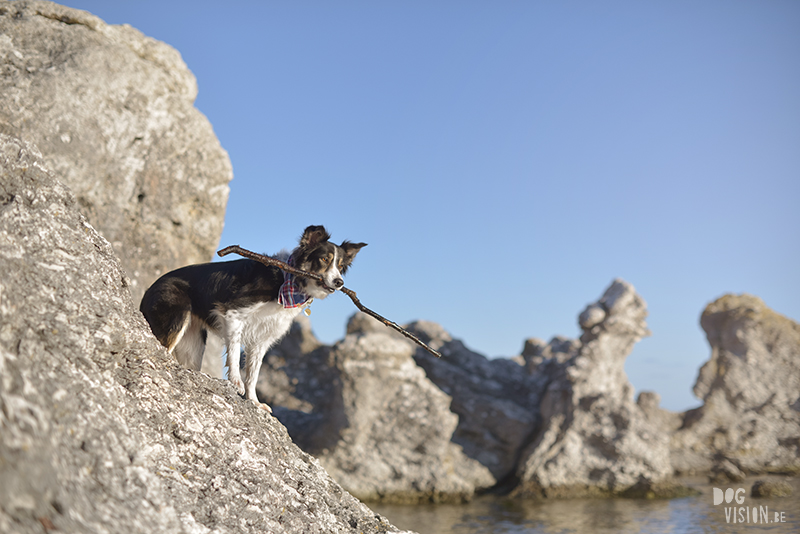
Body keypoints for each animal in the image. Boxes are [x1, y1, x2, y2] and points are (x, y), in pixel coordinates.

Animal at [141, 225, 366, 410]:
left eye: (341, 265)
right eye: (324, 259)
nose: (339, 282)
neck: (287, 280)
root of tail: (150, 287)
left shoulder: (262, 338)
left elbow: (254, 373)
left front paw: (254, 401)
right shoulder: (232, 314)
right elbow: (233, 354)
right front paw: (235, 382)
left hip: (193, 343)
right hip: (177, 319)